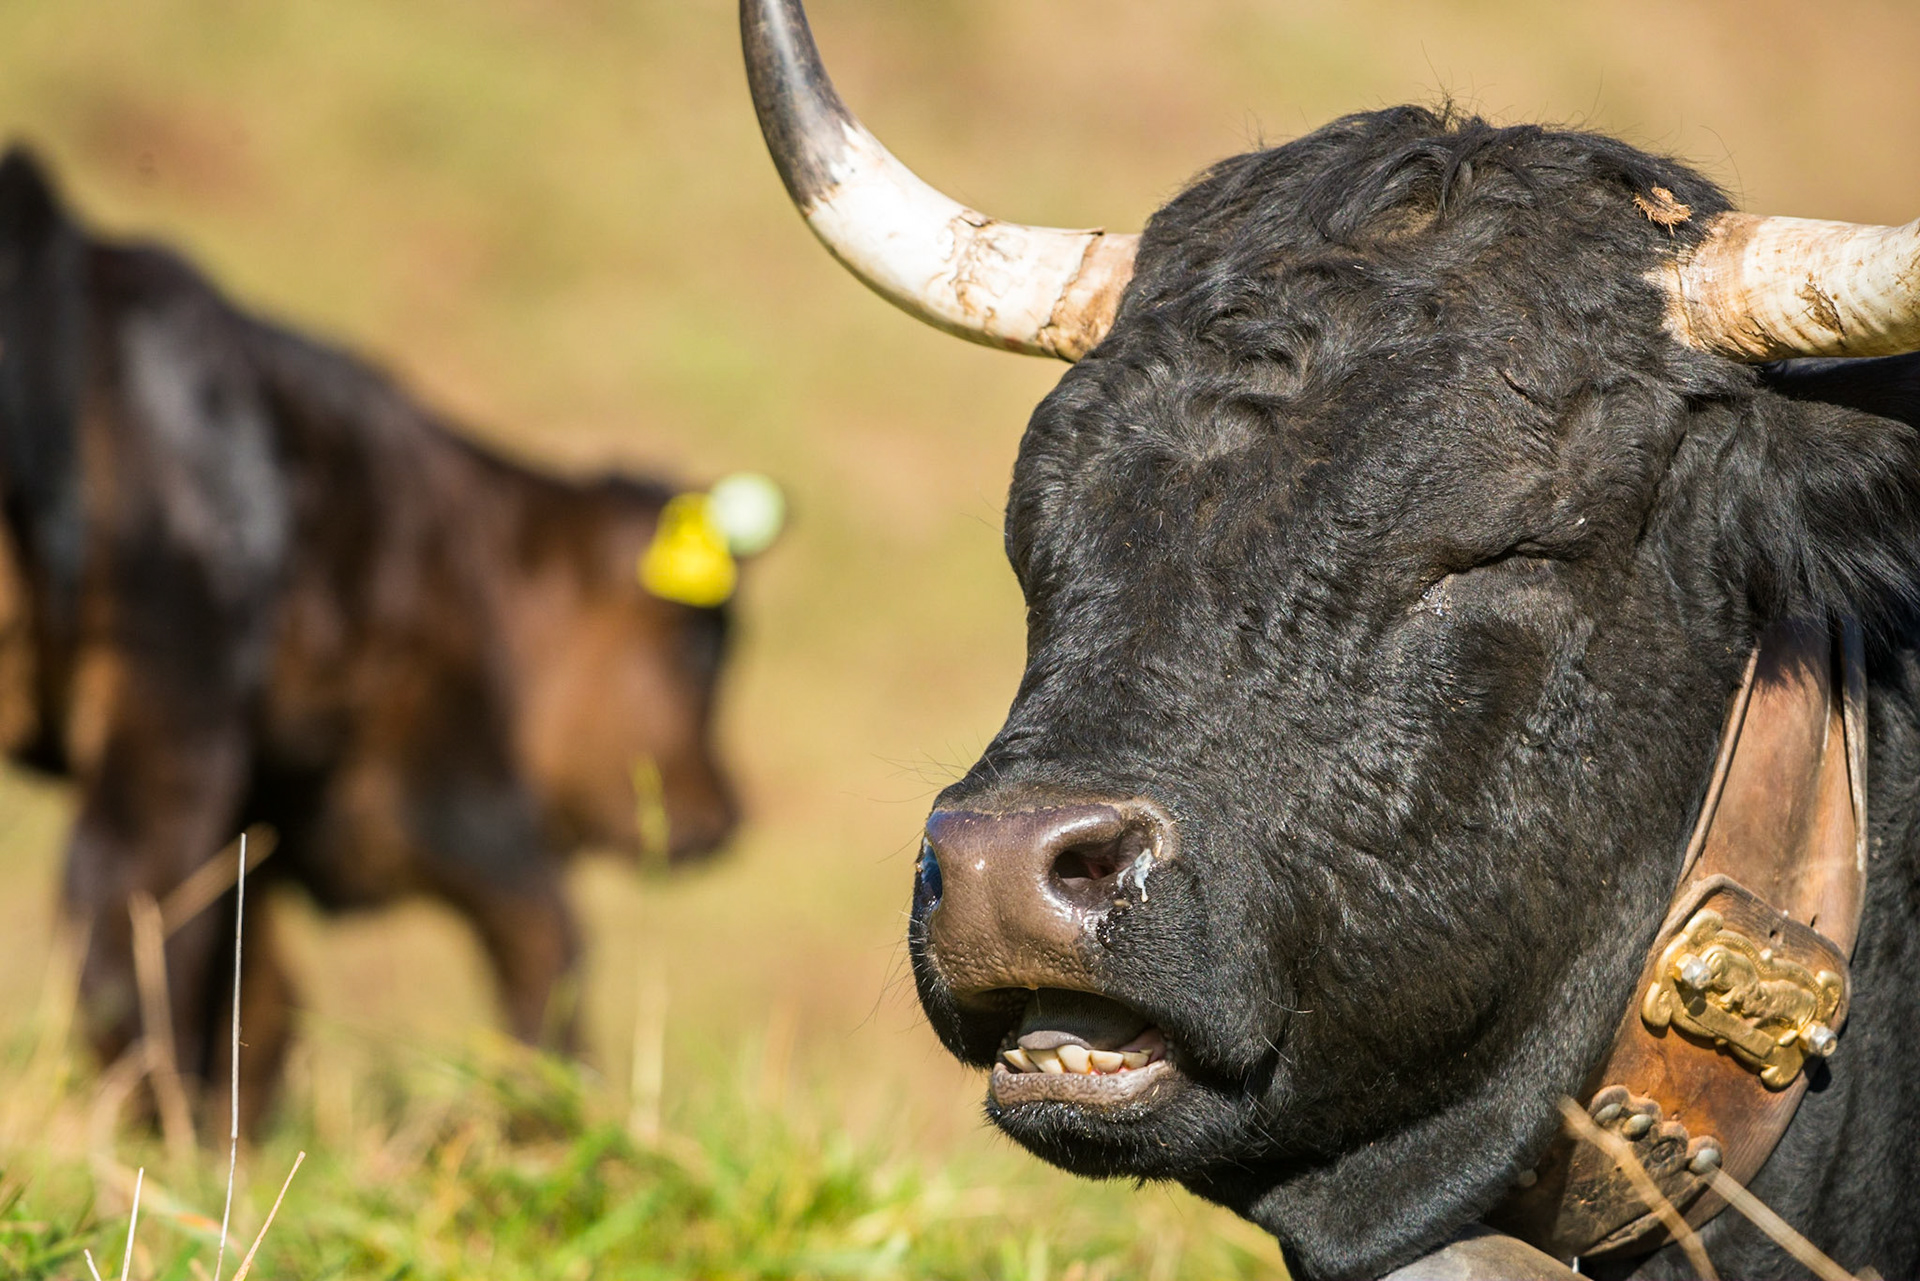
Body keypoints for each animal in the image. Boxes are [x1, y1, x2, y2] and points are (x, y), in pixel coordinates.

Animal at [0, 147, 781, 1128]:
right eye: (697, 645)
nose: (723, 817)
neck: (491, 552)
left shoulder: (272, 796)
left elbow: (258, 983)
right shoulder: (434, 781)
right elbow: (545, 932)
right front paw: (554, 1118)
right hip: (178, 685)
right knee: (126, 886)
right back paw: (152, 1120)